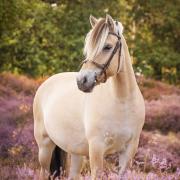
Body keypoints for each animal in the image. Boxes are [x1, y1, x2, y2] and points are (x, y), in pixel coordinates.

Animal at [33, 14, 145, 179]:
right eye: (88, 49)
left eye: (107, 47)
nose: (82, 81)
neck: (122, 101)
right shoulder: (96, 148)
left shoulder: (129, 151)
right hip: (45, 147)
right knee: (43, 171)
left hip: (75, 151)